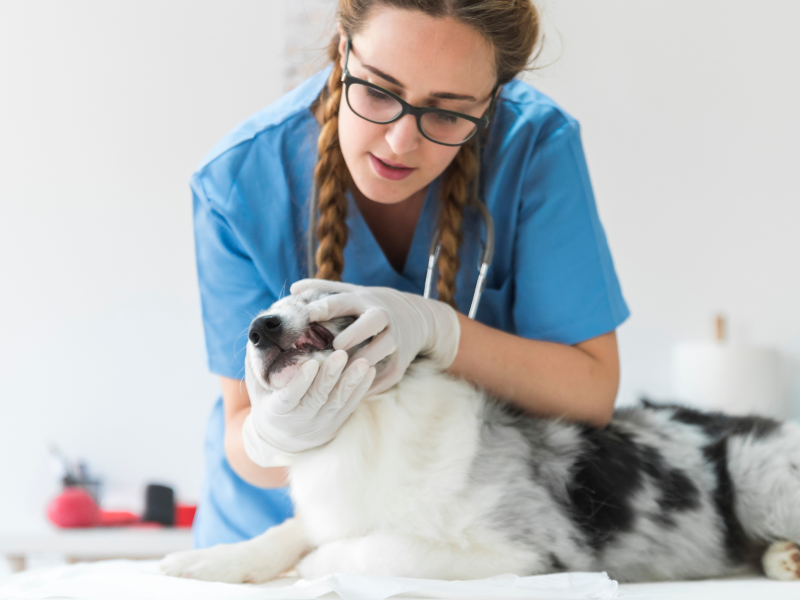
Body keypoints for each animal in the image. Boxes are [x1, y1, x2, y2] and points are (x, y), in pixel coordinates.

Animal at [161, 288, 800, 584]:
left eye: (315, 302)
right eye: (267, 308)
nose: (257, 328)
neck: (370, 423)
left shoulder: (520, 551)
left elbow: (379, 549)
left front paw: (316, 567)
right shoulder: (336, 506)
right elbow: (285, 532)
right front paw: (208, 561)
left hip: (756, 472)